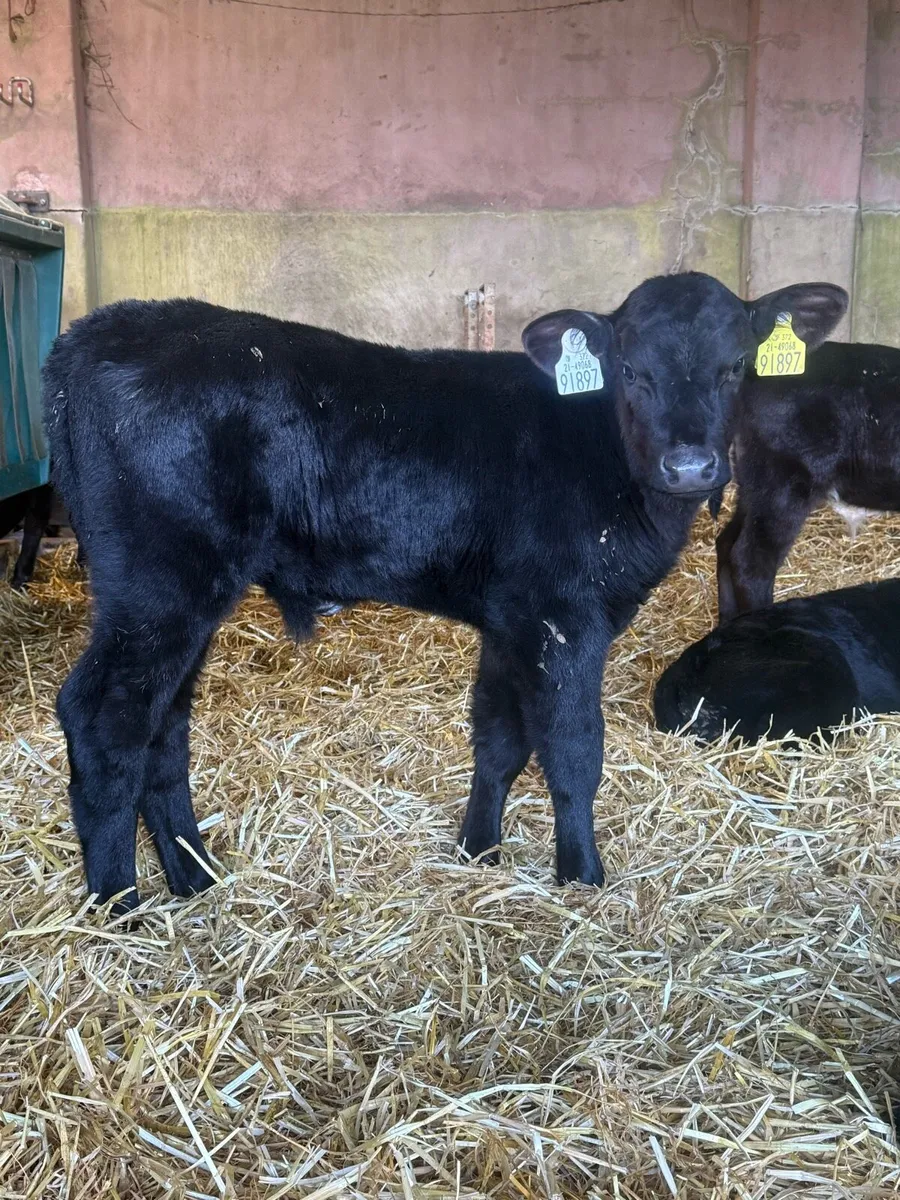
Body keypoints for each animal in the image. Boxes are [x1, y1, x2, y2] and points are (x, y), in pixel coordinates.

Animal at [43, 271, 847, 913]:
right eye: (630, 369)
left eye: (736, 366)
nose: (690, 466)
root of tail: (96, 330)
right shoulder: (565, 616)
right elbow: (573, 748)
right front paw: (582, 876)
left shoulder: (512, 615)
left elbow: (498, 738)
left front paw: (478, 852)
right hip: (160, 584)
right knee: (104, 719)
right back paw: (118, 907)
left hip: (183, 598)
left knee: (163, 725)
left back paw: (195, 878)